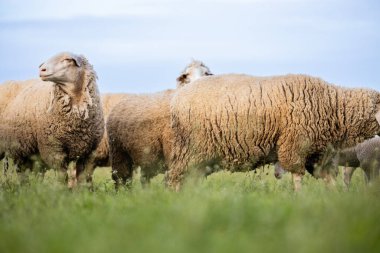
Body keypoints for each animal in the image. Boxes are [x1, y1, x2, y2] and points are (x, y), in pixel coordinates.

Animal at [0, 52, 104, 186]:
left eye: (68, 60)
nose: (41, 70)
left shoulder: (88, 153)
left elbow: (82, 178)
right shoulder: (53, 150)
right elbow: (62, 177)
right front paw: (61, 189)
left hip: (25, 150)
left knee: (24, 171)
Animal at [167, 74, 380, 191]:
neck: (333, 105)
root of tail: (177, 98)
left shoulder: (318, 153)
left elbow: (328, 178)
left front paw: (334, 197)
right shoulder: (294, 145)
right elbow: (297, 175)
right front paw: (300, 198)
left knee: (190, 178)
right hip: (189, 150)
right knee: (177, 177)